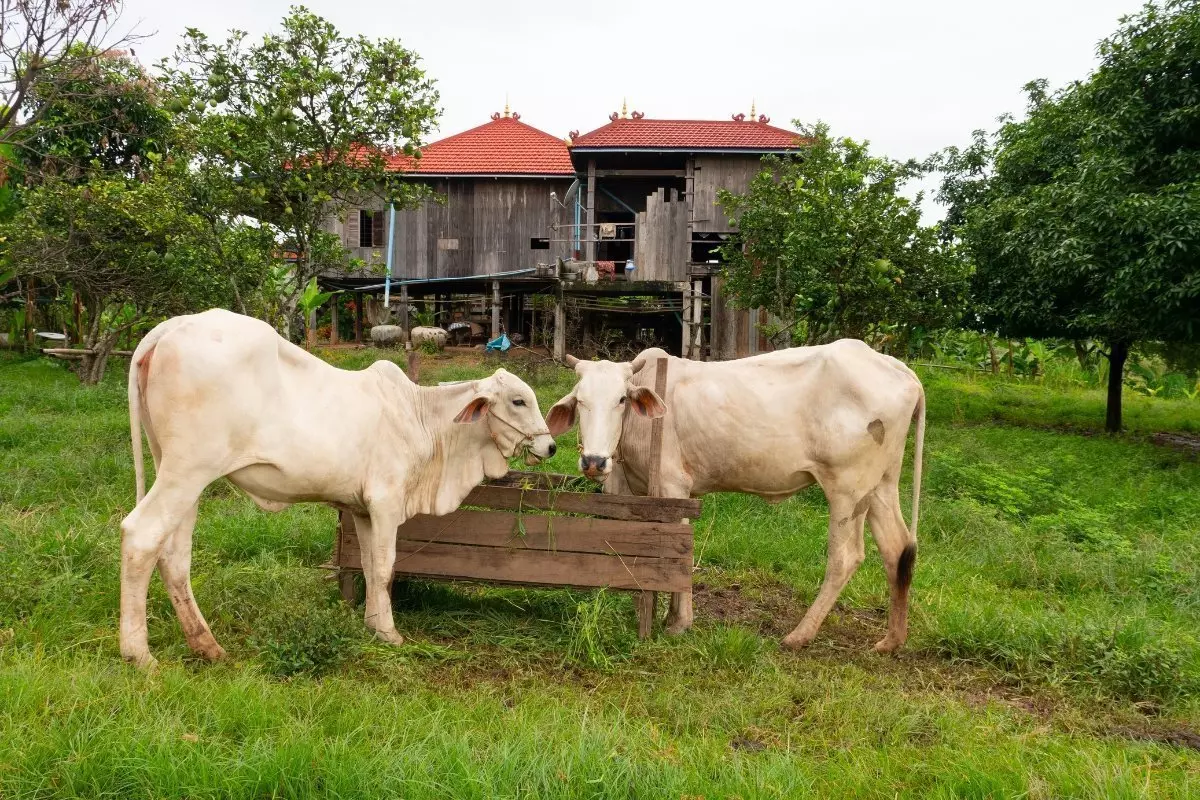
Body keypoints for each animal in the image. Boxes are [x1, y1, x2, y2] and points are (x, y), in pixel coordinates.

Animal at [120, 309, 555, 667]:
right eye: (518, 401)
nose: (550, 446)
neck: (425, 420)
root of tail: (171, 327)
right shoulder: (386, 501)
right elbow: (385, 566)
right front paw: (390, 633)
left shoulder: (362, 509)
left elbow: (368, 563)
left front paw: (373, 624)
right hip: (188, 470)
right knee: (141, 535)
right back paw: (139, 655)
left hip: (179, 474)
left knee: (174, 553)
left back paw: (206, 646)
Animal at [545, 342, 924, 653]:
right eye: (580, 401)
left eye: (621, 399)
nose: (594, 461)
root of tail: (897, 368)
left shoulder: (672, 486)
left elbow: (679, 552)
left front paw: (679, 623)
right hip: (880, 485)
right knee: (897, 550)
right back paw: (891, 640)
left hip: (847, 489)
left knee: (845, 557)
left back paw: (799, 636)